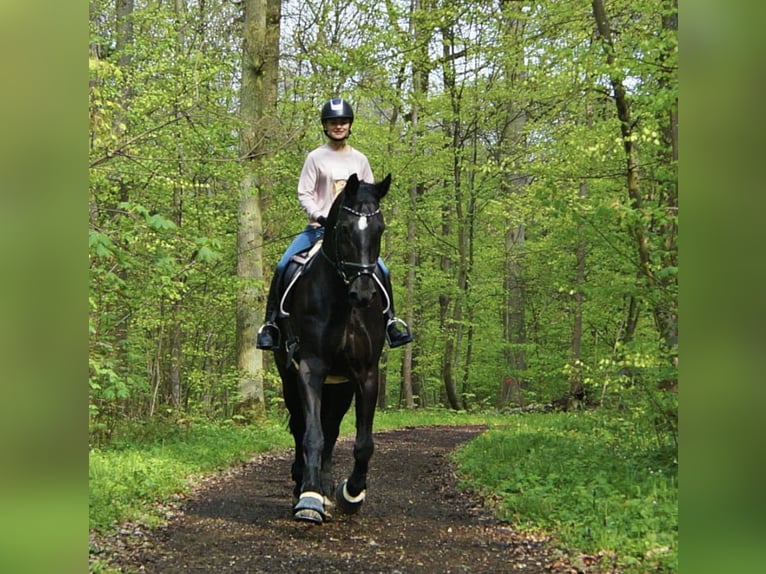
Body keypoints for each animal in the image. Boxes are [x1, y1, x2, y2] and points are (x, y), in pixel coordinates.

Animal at [274, 173, 392, 524]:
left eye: (380, 228)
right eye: (344, 229)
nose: (363, 294)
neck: (343, 304)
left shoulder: (365, 375)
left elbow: (362, 442)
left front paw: (351, 493)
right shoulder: (310, 368)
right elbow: (311, 434)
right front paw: (309, 497)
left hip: (340, 386)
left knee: (332, 428)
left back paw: (326, 486)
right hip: (289, 378)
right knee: (301, 427)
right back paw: (303, 483)